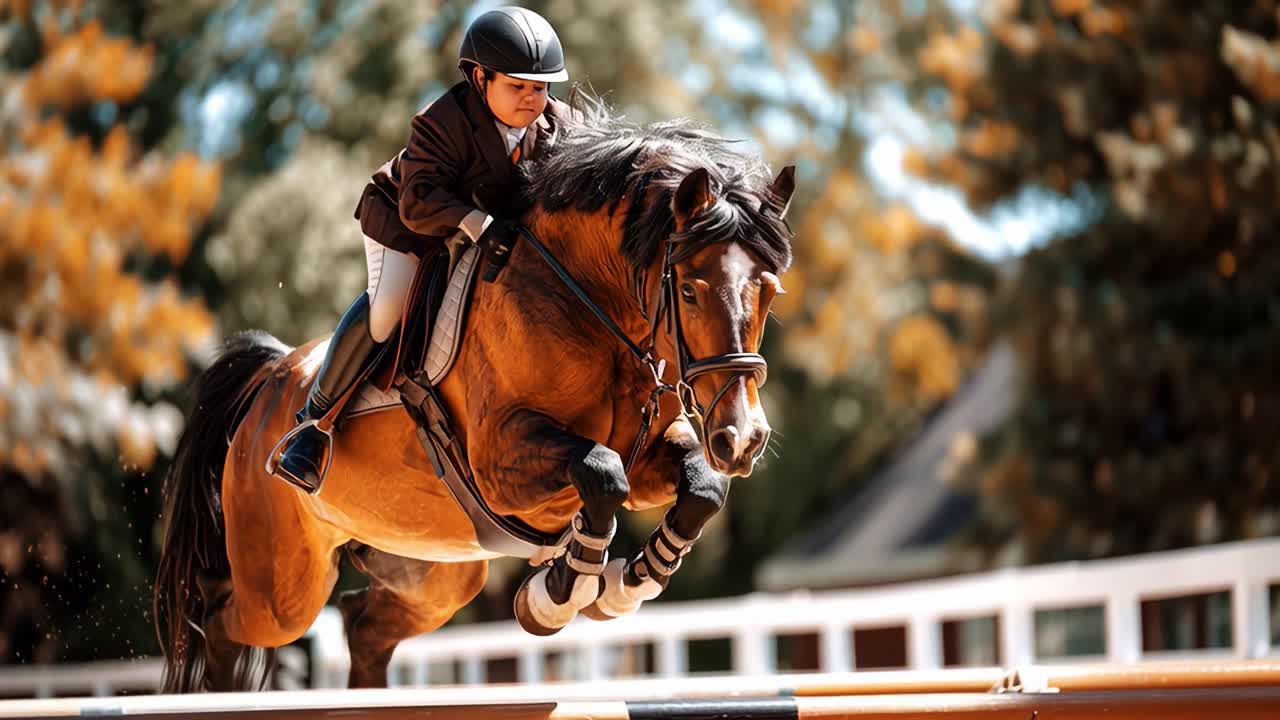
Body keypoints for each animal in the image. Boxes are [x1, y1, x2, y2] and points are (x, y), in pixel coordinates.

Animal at [153, 100, 795, 692]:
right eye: (688, 291)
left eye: (769, 292)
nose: (743, 438)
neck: (586, 304)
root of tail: (271, 377)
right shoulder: (503, 463)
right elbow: (600, 472)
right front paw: (557, 595)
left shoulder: (649, 458)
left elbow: (701, 488)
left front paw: (627, 584)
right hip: (284, 588)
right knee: (223, 622)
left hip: (435, 571)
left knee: (365, 629)